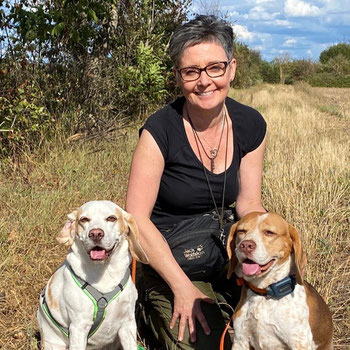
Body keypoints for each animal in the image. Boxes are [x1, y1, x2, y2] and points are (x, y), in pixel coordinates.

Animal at [37, 200, 149, 350]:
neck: (104, 273)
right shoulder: (79, 327)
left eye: (111, 218)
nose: (95, 233)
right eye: (84, 219)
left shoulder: (127, 323)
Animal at [227, 212, 334, 348]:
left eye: (269, 232)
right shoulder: (240, 340)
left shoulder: (299, 342)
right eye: (241, 231)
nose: (245, 245)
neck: (264, 294)